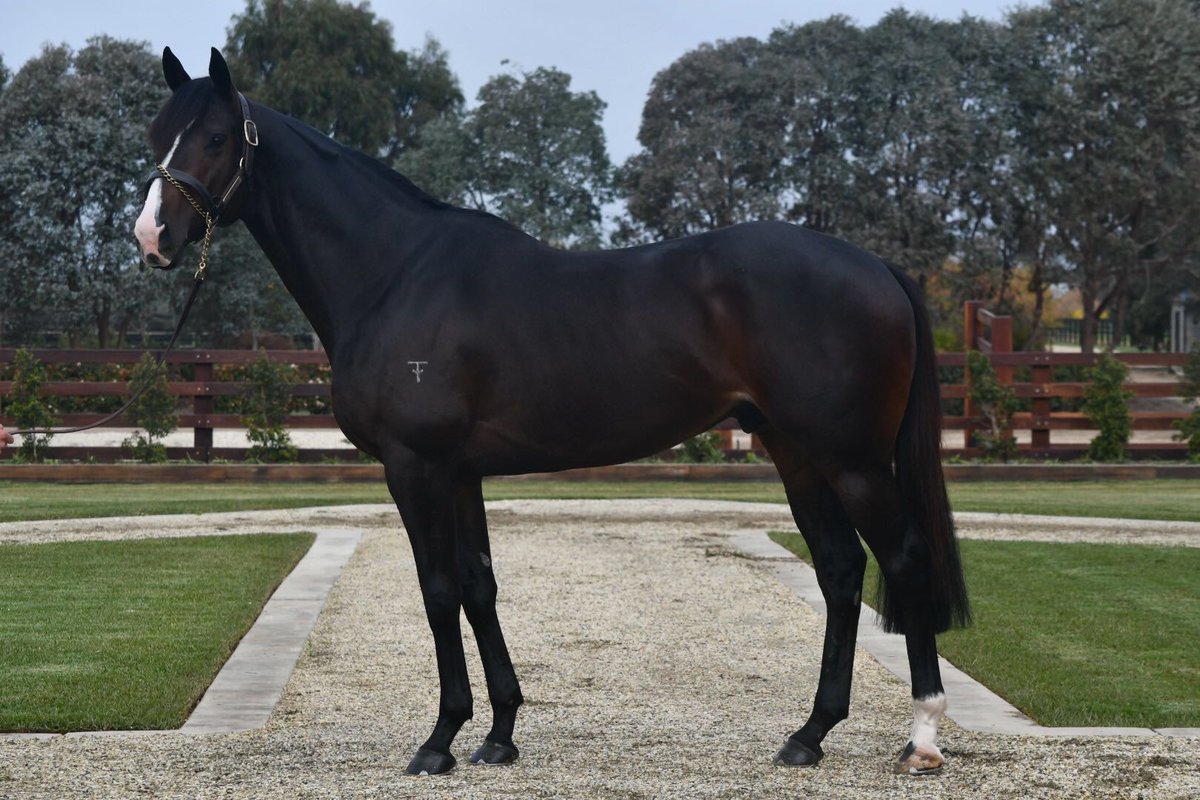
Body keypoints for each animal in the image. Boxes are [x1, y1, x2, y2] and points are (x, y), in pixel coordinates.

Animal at [134, 48, 970, 777]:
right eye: (154, 134)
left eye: (215, 137)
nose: (152, 236)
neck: (395, 272)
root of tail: (877, 266)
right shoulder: (459, 471)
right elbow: (479, 587)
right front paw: (499, 734)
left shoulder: (416, 466)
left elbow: (437, 590)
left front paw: (438, 741)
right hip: (797, 452)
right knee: (840, 570)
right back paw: (808, 735)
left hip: (851, 459)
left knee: (903, 559)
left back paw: (923, 738)